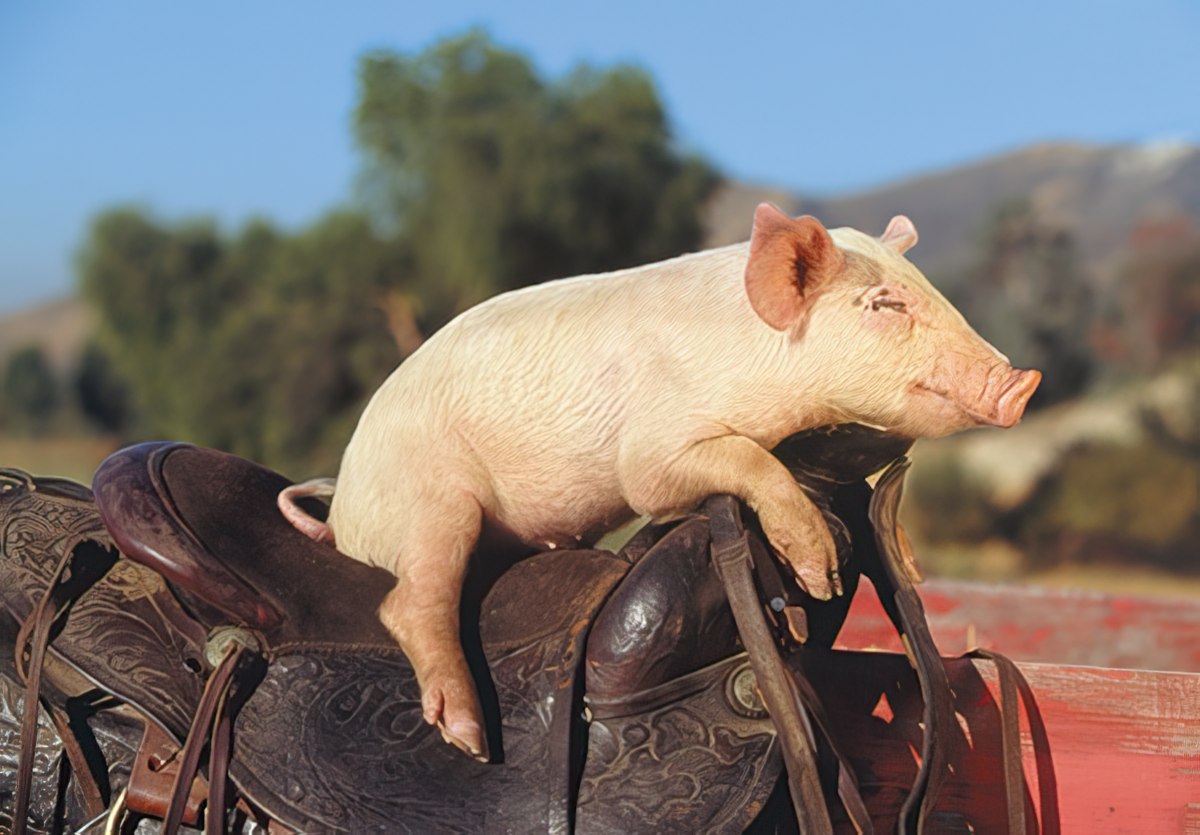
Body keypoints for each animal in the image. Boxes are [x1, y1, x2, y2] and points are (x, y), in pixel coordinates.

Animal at [278, 204, 1041, 760]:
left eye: (934, 293)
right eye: (884, 305)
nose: (1023, 382)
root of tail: (343, 515)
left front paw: (894, 565)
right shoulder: (652, 451)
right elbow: (738, 463)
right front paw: (819, 574)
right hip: (433, 501)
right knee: (409, 603)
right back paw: (469, 741)